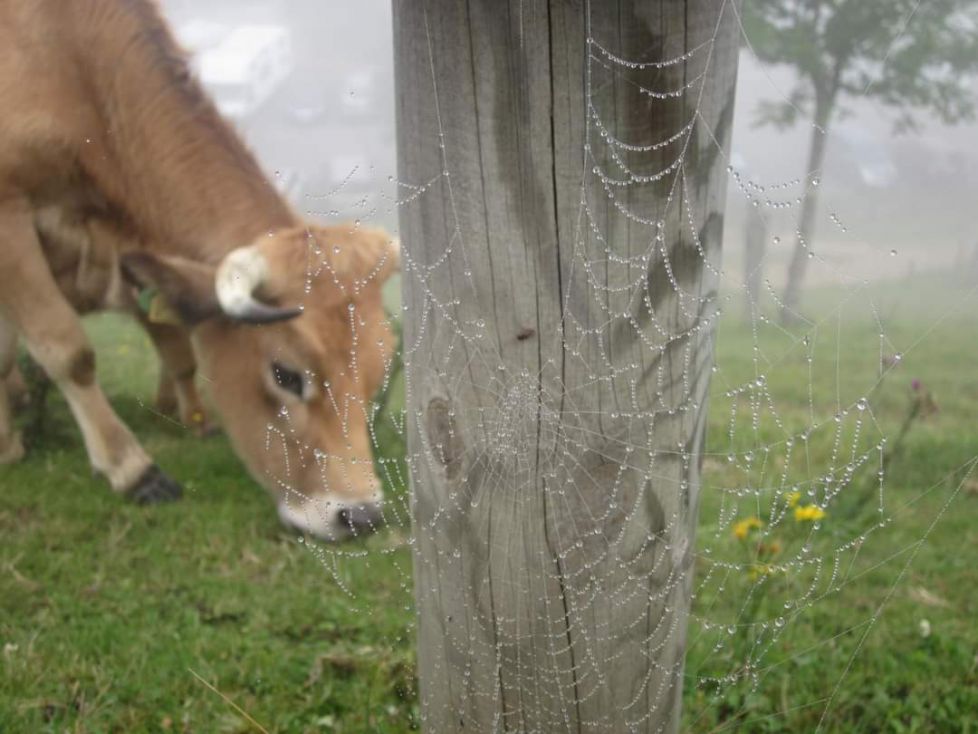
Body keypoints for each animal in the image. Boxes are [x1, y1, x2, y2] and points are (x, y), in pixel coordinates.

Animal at [0, 0, 399, 541]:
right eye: (285, 374)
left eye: (379, 371)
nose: (361, 515)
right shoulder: (9, 215)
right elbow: (66, 349)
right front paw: (130, 468)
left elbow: (175, 345)